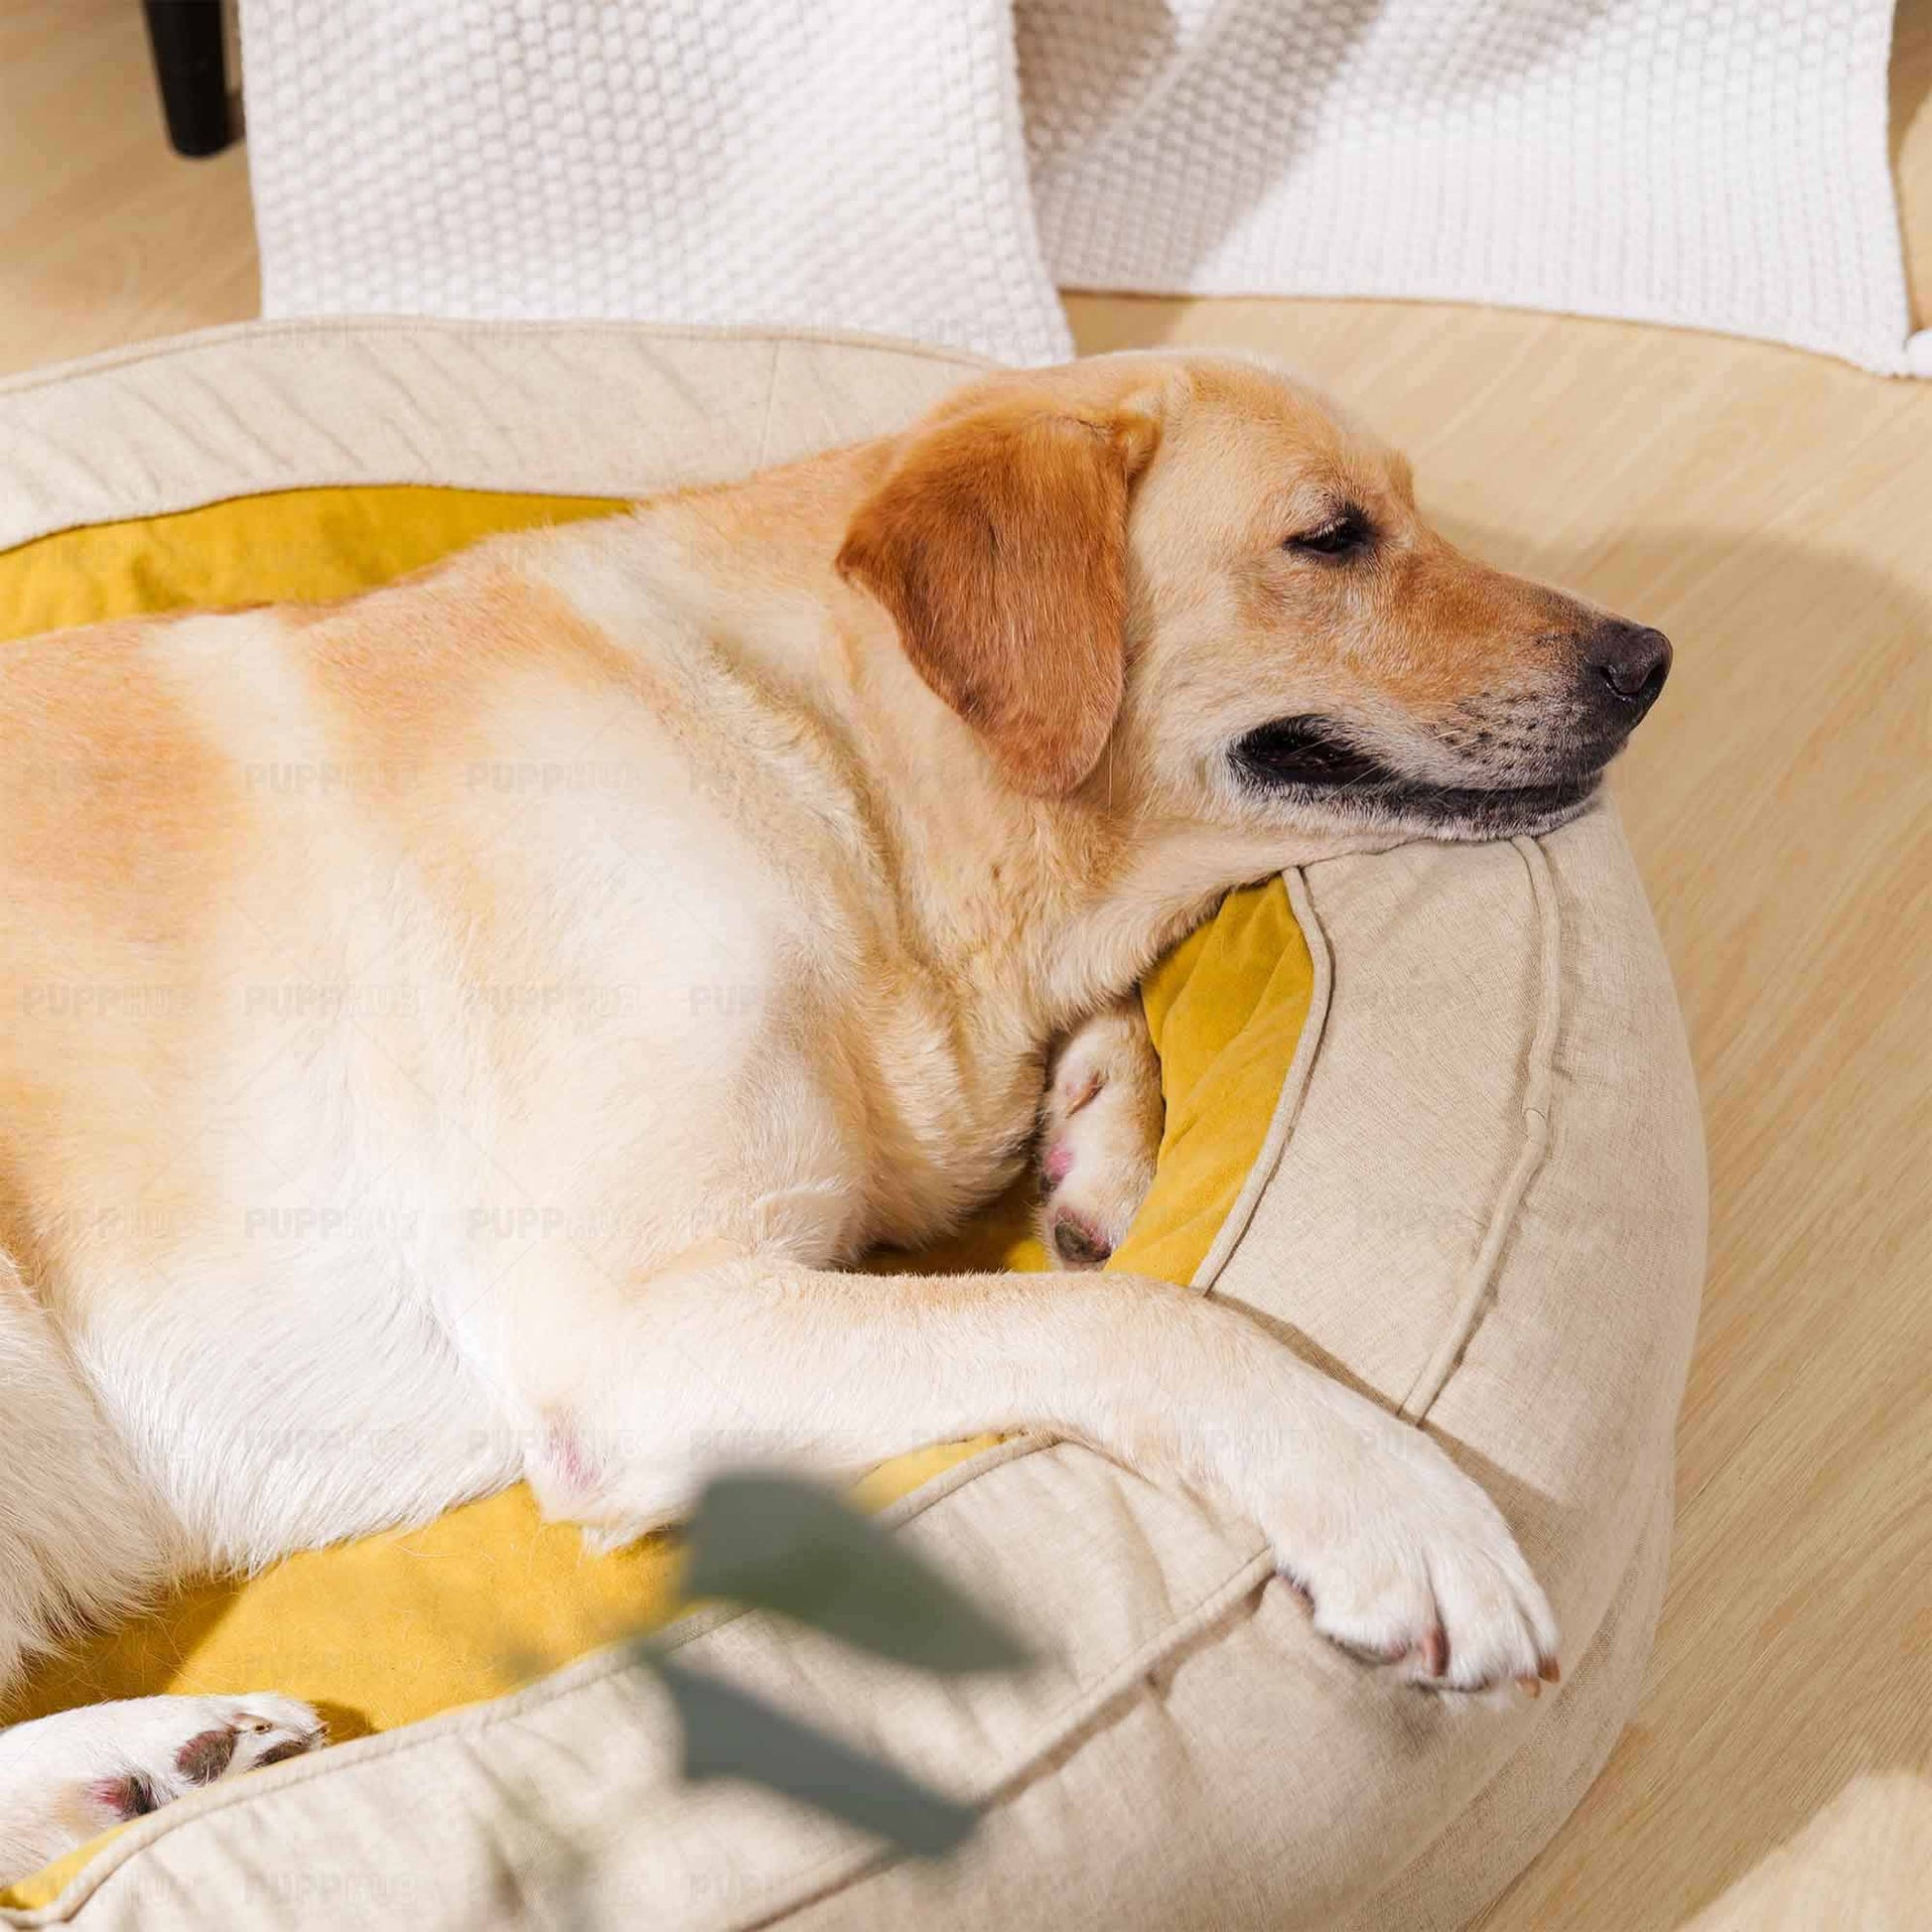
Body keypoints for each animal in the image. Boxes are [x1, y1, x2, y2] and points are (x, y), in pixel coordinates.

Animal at [0, 351, 1669, 1869]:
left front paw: (1097, 1137)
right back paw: (140, 1754)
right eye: (1329, 539)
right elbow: (1139, 1319)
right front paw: (1392, 1503)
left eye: (1412, 510)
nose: (1647, 656)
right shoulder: (629, 1325)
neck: (829, 764)